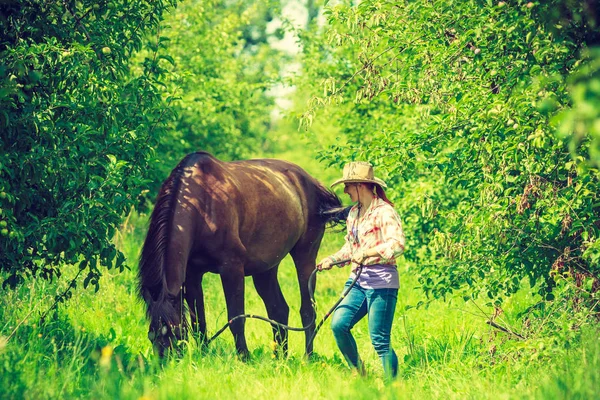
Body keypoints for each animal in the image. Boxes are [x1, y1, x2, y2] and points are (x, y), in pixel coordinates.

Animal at [137, 152, 342, 358]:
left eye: (175, 331)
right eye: (151, 336)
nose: (166, 362)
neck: (203, 204)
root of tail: (311, 182)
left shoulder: (232, 269)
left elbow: (236, 318)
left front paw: (244, 357)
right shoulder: (193, 275)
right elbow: (199, 321)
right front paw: (204, 354)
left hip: (305, 257)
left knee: (307, 310)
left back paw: (307, 356)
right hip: (266, 269)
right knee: (278, 310)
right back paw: (280, 357)